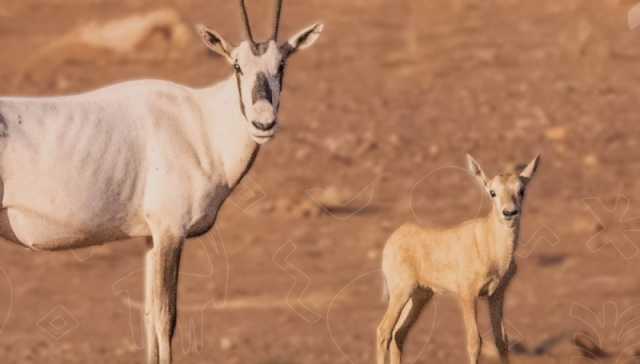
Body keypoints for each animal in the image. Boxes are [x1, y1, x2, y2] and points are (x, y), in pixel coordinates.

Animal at [378, 154, 544, 364]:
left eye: (521, 190)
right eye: (492, 192)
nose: (509, 213)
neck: (488, 241)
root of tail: (394, 237)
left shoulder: (496, 294)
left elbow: (502, 340)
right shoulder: (467, 295)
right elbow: (474, 342)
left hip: (419, 296)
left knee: (399, 333)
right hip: (401, 292)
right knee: (384, 331)